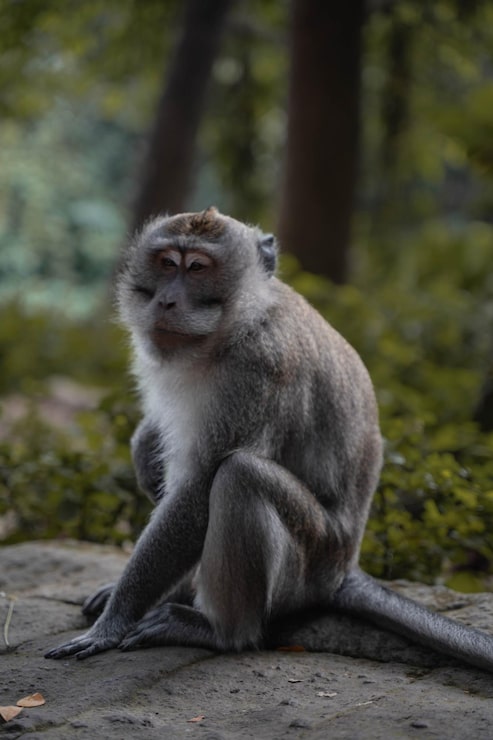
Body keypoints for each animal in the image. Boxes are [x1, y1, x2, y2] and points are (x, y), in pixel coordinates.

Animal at [45, 207, 493, 672]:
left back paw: (219, 631)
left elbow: (199, 489)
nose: (166, 301)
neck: (237, 325)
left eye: (197, 268)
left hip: (307, 565)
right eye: (167, 263)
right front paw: (144, 443)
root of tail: (343, 570)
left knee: (240, 477)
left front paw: (112, 623)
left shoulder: (258, 368)